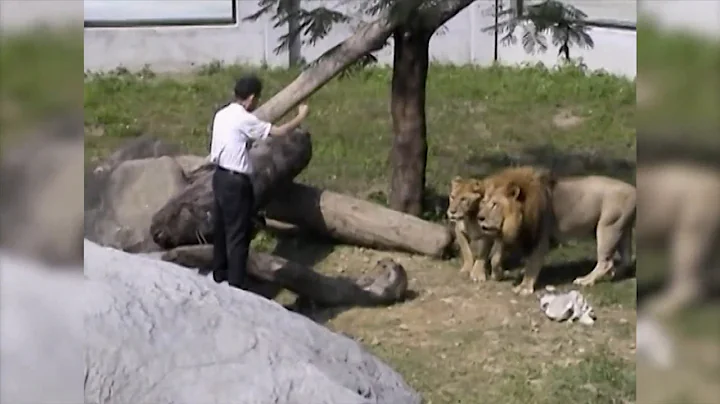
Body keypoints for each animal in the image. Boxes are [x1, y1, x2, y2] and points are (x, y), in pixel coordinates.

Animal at [475, 166, 636, 296]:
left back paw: (586, 280)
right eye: (484, 202)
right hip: (622, 229)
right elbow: (496, 258)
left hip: (608, 227)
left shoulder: (540, 236)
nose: (480, 217)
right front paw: (498, 274)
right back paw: (613, 274)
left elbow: (532, 263)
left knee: (605, 262)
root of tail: (633, 189)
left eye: (495, 204)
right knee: (626, 258)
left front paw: (524, 287)